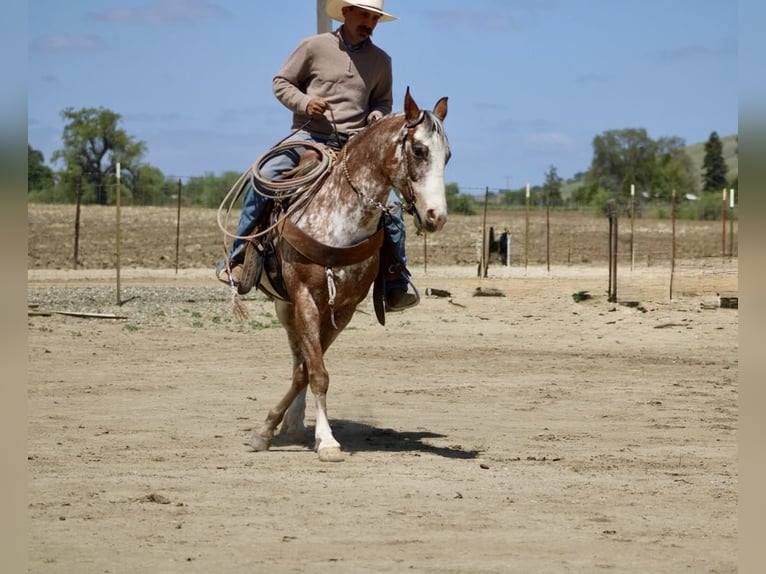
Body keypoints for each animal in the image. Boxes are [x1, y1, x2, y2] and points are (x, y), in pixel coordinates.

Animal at [241, 88, 449, 462]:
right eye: (419, 150)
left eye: (448, 156)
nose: (436, 216)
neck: (339, 220)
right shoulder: (304, 297)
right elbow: (316, 371)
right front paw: (321, 440)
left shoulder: (345, 307)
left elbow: (308, 370)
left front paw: (283, 427)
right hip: (285, 304)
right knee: (297, 350)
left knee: (300, 359)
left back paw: (294, 422)